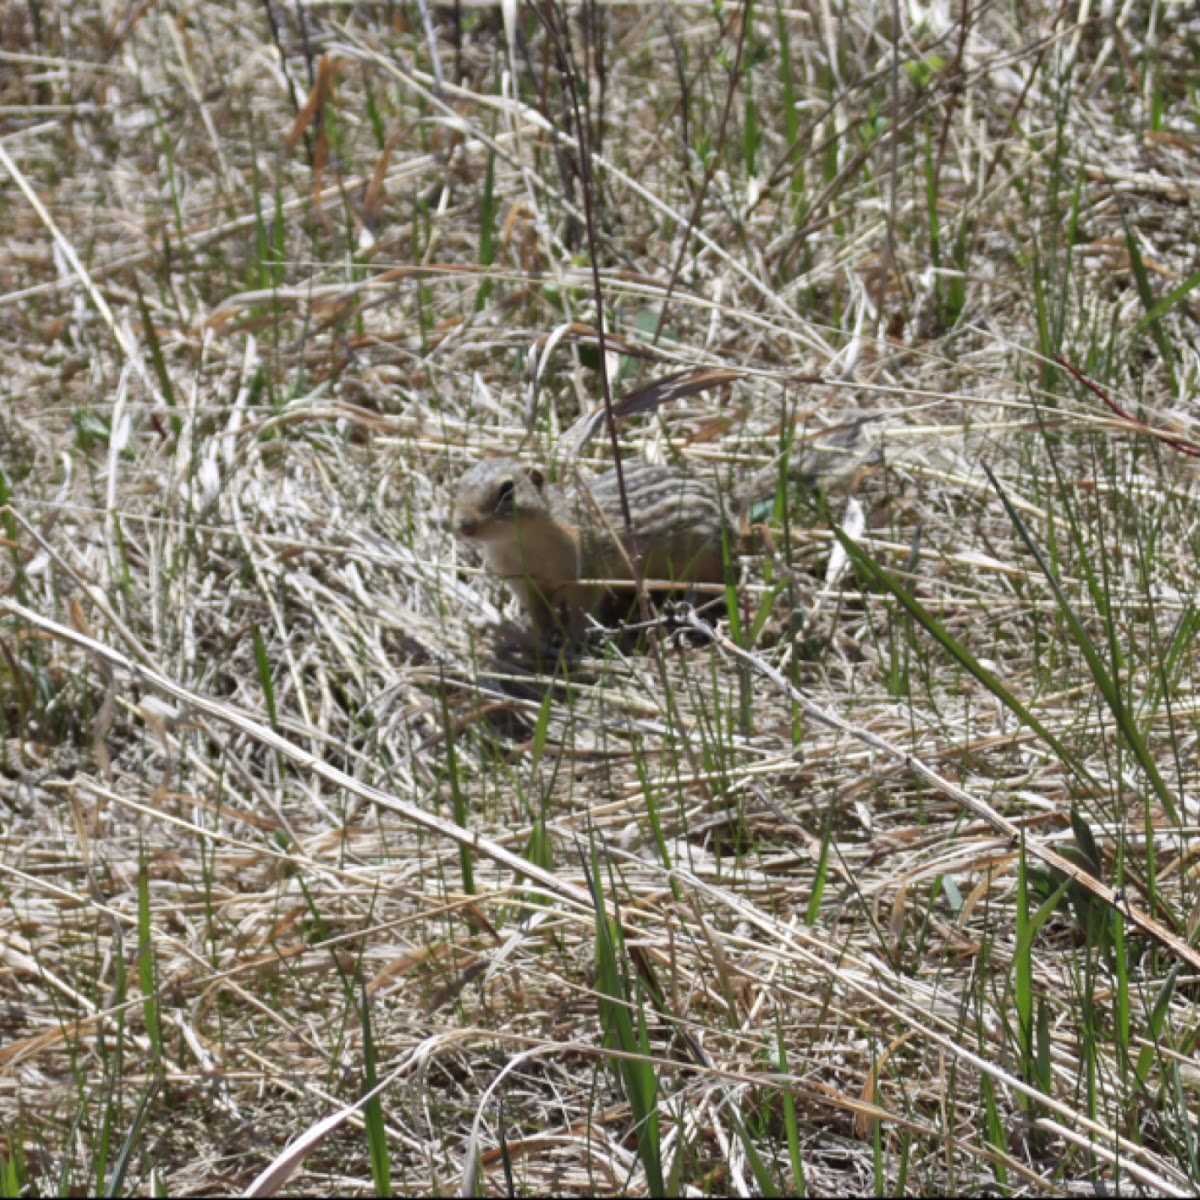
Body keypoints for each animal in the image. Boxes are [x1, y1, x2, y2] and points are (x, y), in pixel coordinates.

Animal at [453, 456, 734, 643]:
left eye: (507, 489)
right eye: (459, 484)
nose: (464, 524)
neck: (521, 544)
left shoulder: (586, 573)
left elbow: (582, 610)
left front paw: (574, 641)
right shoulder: (522, 581)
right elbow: (538, 611)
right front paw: (541, 639)